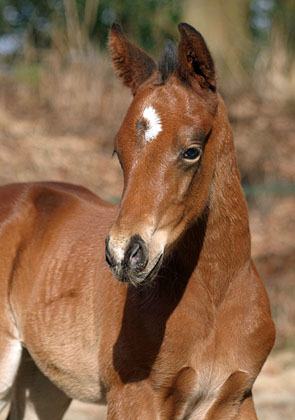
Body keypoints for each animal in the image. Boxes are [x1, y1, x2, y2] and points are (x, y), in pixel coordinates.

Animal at [1, 23, 276, 420]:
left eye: (191, 150)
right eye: (119, 151)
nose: (123, 254)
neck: (217, 295)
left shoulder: (236, 396)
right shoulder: (134, 396)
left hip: (44, 383)